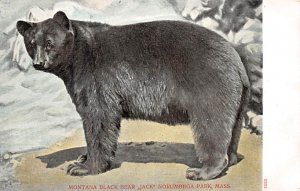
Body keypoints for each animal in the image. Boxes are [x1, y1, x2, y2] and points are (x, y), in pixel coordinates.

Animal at [17, 11, 251, 181]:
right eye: (31, 44)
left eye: (49, 43)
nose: (38, 63)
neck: (76, 57)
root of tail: (238, 63)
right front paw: (82, 157)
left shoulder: (97, 77)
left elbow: (99, 117)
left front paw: (83, 167)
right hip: (237, 98)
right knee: (233, 128)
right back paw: (231, 159)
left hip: (209, 85)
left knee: (211, 125)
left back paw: (202, 171)